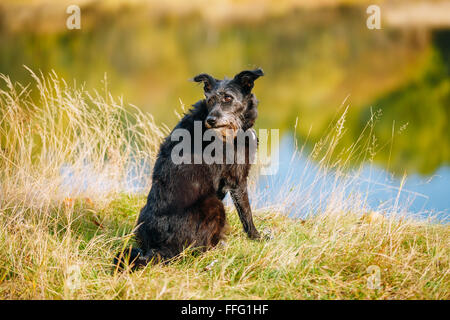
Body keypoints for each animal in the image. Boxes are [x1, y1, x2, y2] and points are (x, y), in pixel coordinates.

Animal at [114, 68, 266, 270]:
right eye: (210, 100)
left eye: (228, 97)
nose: (211, 120)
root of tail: (157, 249)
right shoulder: (237, 179)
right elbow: (246, 213)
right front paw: (257, 237)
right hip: (214, 205)